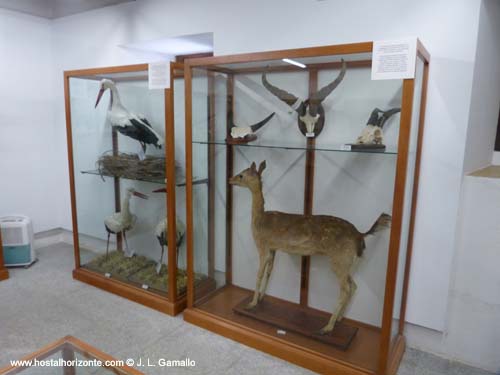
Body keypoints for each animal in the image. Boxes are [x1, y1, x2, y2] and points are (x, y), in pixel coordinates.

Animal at [229, 162, 390, 334]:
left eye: (241, 175)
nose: (230, 179)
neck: (259, 219)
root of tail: (360, 235)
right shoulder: (273, 248)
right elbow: (269, 272)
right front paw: (260, 299)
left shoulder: (262, 245)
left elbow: (259, 274)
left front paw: (251, 304)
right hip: (348, 264)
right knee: (353, 285)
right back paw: (339, 319)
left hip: (339, 261)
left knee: (345, 288)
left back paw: (326, 327)